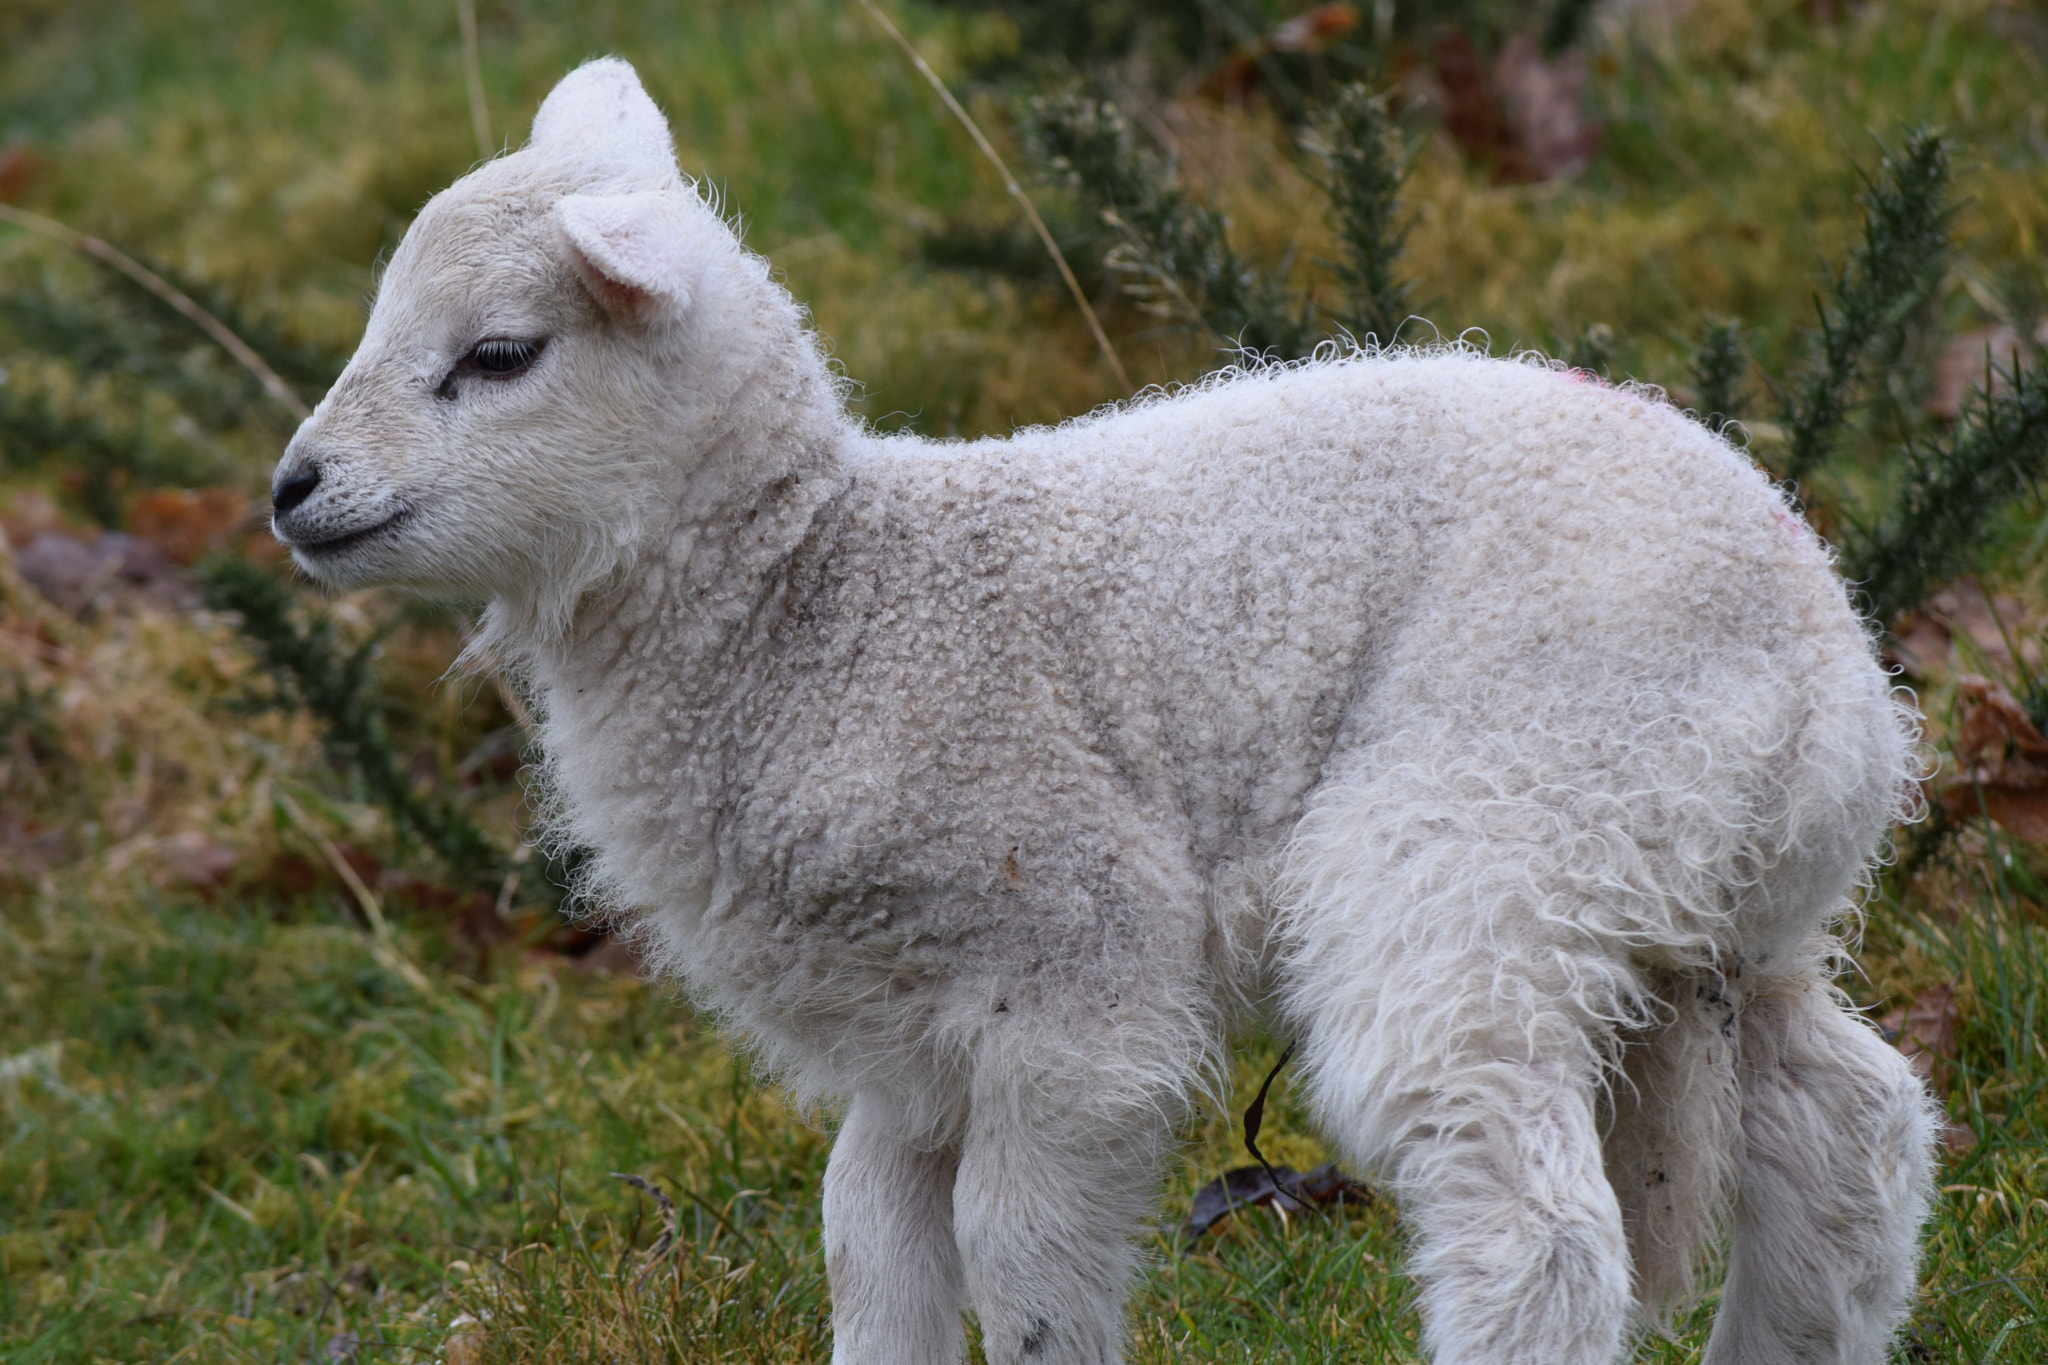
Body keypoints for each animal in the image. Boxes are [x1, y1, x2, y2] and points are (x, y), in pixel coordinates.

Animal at [268, 58, 1938, 1365]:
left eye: (499, 355)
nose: (291, 491)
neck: (825, 606)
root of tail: (1824, 667)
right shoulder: (906, 1037)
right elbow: (869, 1242)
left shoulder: (1074, 977)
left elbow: (1018, 1264)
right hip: (1724, 900)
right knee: (1846, 1132)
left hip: (1489, 836)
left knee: (1536, 1226)